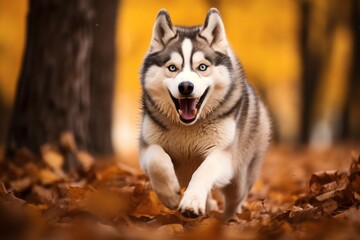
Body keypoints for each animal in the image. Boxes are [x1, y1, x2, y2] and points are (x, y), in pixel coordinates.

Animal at [139, 8, 272, 219]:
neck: (187, 127)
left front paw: (192, 203)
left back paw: (227, 219)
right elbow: (156, 159)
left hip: (240, 178)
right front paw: (170, 196)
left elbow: (204, 170)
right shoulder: (147, 146)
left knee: (235, 199)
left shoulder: (223, 154)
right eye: (172, 68)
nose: (186, 86)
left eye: (202, 67)